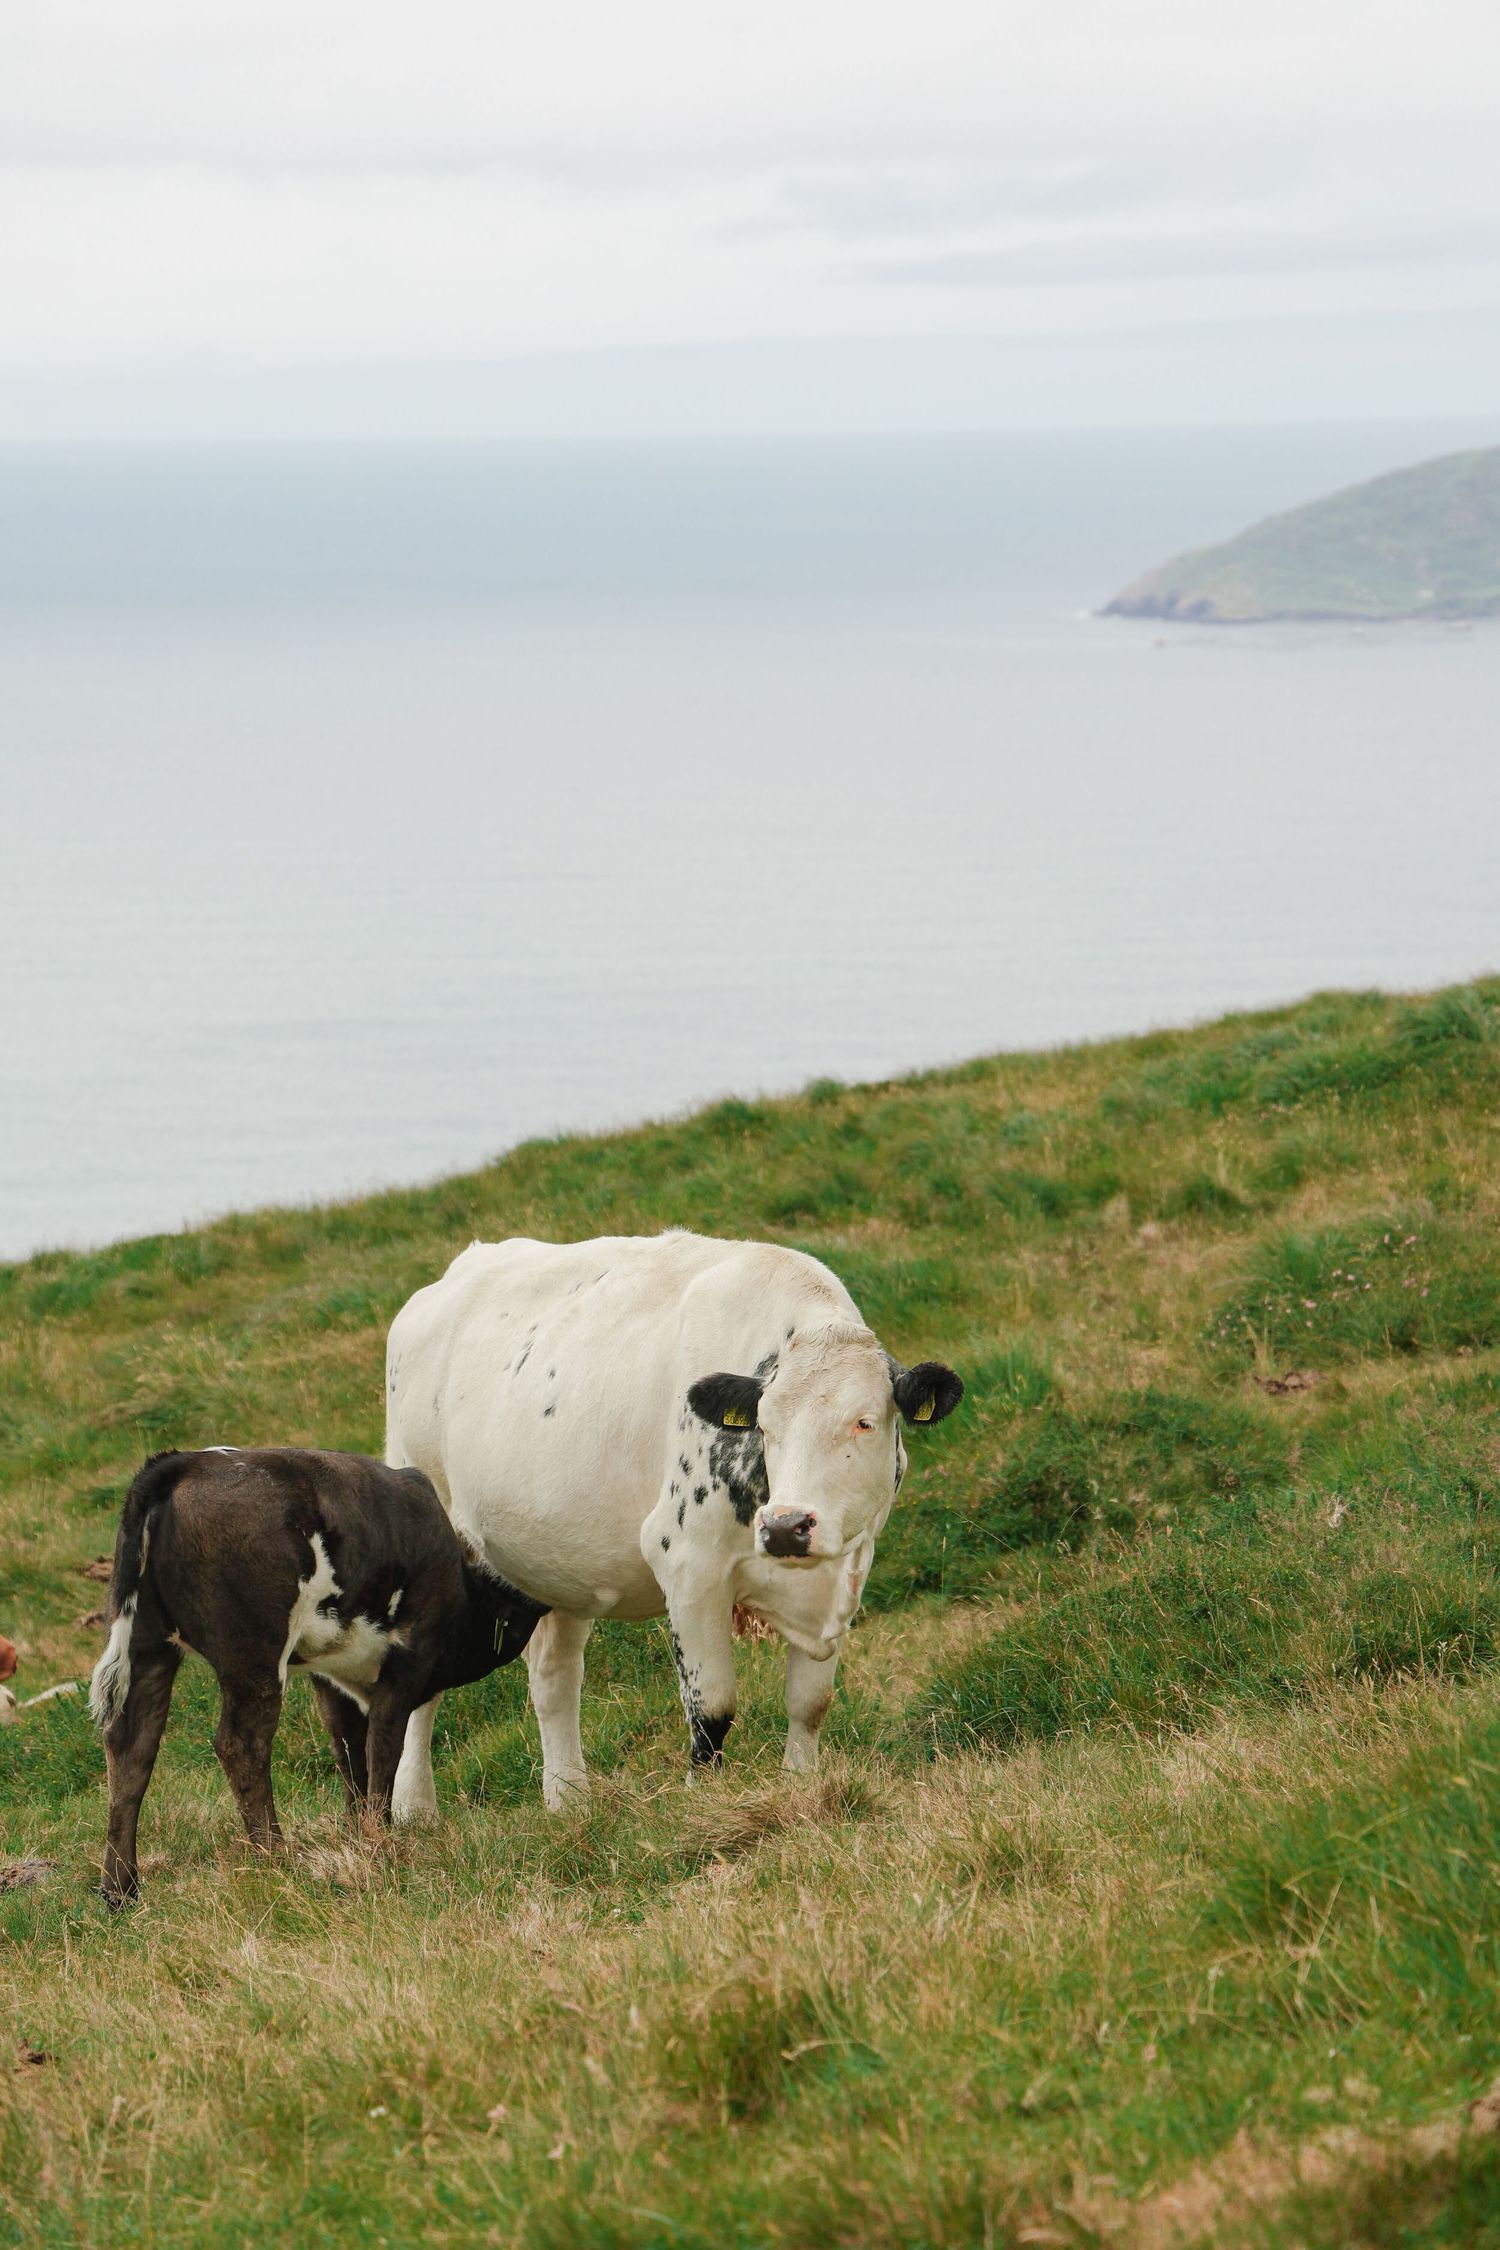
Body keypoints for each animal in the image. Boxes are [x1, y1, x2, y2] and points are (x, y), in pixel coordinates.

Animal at [89, 1447, 547, 1904]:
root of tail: (183, 1462)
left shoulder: (330, 1674)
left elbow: (349, 1752)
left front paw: (357, 1835)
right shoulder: (408, 1662)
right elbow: (383, 1751)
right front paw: (380, 1843)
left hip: (147, 1641)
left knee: (131, 1746)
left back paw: (120, 1889)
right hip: (254, 1653)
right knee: (240, 1745)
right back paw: (276, 1860)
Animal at [384, 1231, 962, 1818]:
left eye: (864, 1421)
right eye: (765, 1426)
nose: (785, 1526)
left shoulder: (846, 1570)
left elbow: (810, 1702)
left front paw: (802, 1785)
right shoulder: (688, 1563)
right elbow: (712, 1708)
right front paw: (702, 1804)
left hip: (555, 1568)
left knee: (554, 1680)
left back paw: (570, 1803)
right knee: (422, 1682)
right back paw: (414, 1811)